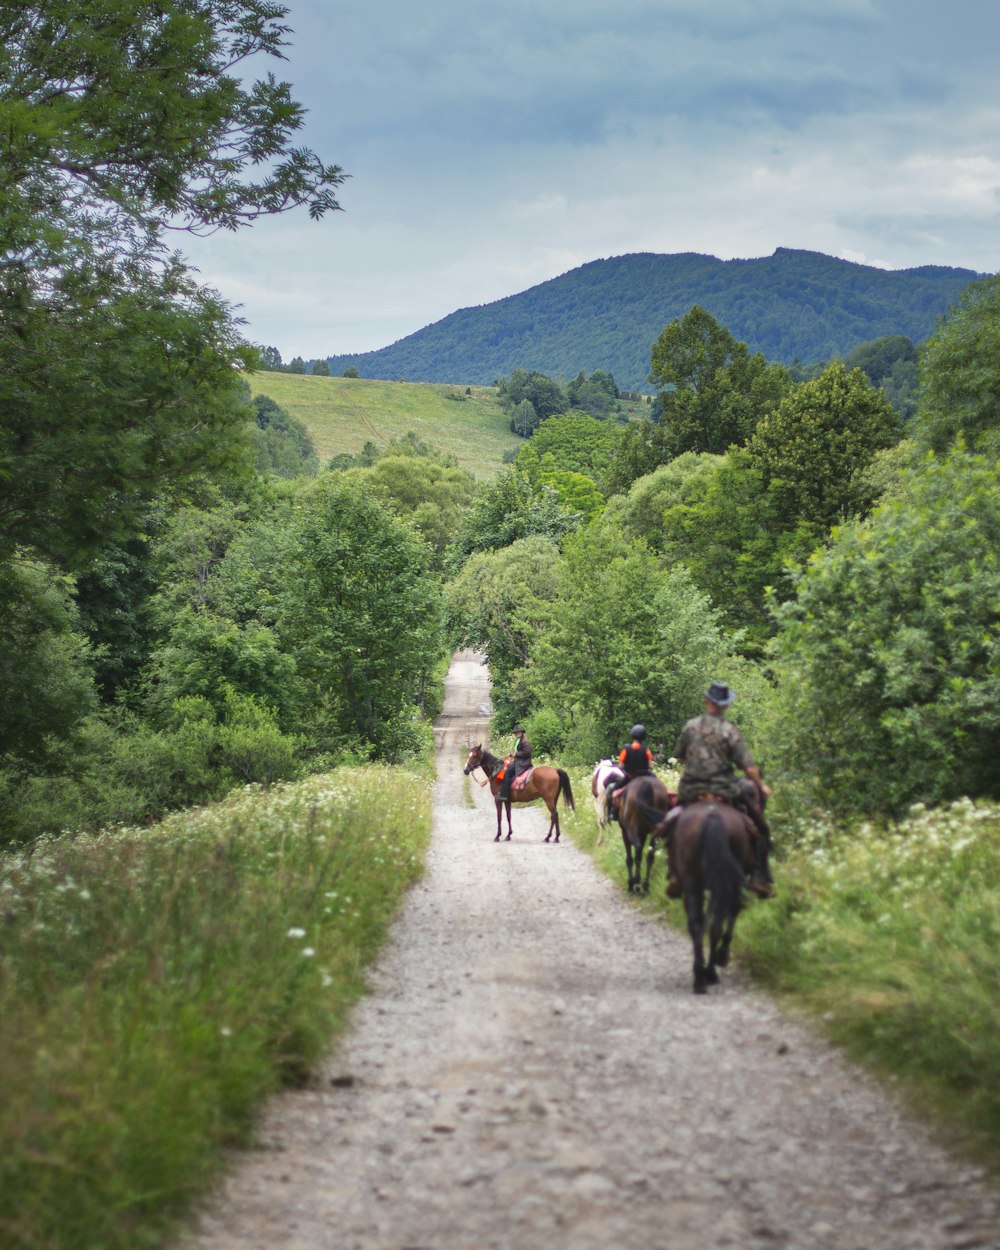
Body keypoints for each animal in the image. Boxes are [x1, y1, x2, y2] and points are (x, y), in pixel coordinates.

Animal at [660, 800, 755, 995]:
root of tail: (713, 816)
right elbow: (731, 914)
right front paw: (722, 956)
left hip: (694, 887)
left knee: (699, 926)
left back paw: (700, 977)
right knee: (713, 924)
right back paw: (708, 973)